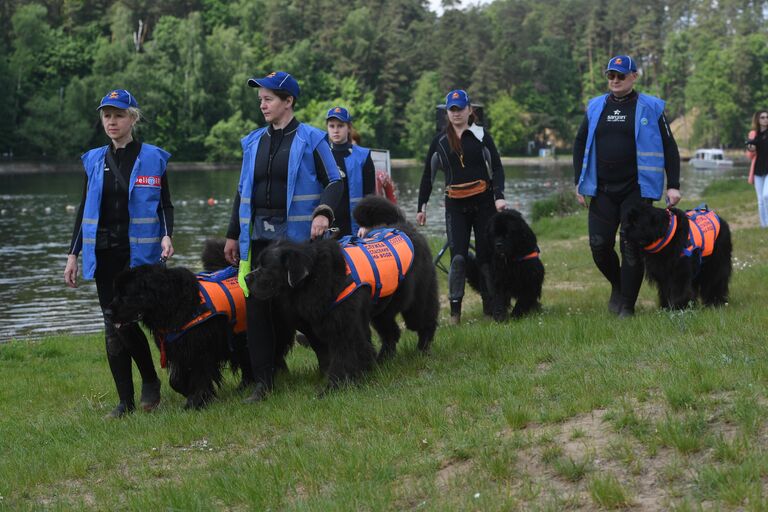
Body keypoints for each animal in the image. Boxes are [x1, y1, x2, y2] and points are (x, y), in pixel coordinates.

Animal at [108, 239, 254, 408]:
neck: (172, 303)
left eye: (125, 295)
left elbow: (200, 374)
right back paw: (244, 385)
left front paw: (196, 401)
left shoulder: (200, 348)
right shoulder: (177, 348)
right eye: (115, 293)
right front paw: (188, 391)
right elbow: (176, 379)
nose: (107, 312)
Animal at [246, 194, 438, 390]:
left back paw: (422, 350)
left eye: (266, 268)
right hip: (383, 308)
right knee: (391, 332)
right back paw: (384, 359)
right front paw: (362, 372)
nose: (246, 278)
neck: (316, 275)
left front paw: (334, 386)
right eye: (257, 264)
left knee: (424, 321)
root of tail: (402, 224)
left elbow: (345, 356)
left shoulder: (344, 324)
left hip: (418, 298)